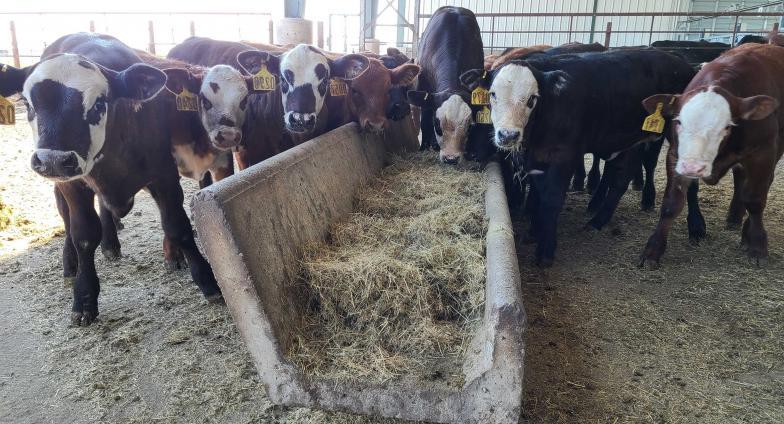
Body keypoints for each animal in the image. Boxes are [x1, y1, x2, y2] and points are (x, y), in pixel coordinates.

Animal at [0, 33, 222, 324]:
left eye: (98, 104)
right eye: (28, 104)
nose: (53, 160)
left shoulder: (164, 173)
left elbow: (178, 225)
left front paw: (208, 281)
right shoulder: (73, 185)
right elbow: (83, 234)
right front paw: (84, 297)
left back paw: (111, 243)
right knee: (66, 218)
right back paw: (71, 261)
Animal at [640, 43, 780, 268]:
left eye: (727, 127)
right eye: (678, 121)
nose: (693, 167)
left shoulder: (763, 153)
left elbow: (756, 200)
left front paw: (758, 247)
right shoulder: (676, 155)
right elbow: (671, 203)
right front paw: (653, 250)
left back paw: (746, 233)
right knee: (740, 178)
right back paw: (734, 217)